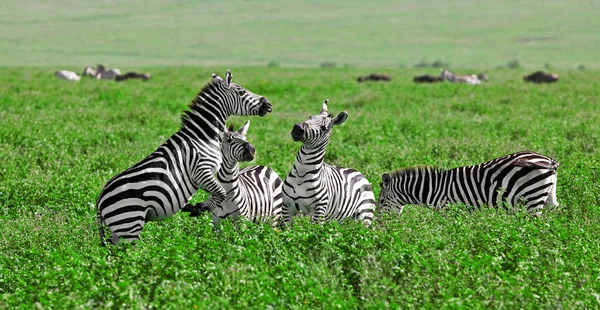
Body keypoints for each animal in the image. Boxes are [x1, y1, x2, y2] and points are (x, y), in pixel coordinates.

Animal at [95, 69, 274, 245]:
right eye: (241, 91)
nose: (268, 105)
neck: (201, 136)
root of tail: (100, 199)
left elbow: (218, 193)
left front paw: (195, 207)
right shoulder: (201, 170)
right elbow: (221, 192)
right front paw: (199, 208)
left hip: (120, 230)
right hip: (129, 225)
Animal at [378, 151, 560, 217]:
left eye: (380, 201)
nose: (380, 225)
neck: (434, 189)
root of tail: (549, 160)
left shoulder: (448, 209)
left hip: (533, 197)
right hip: (547, 195)